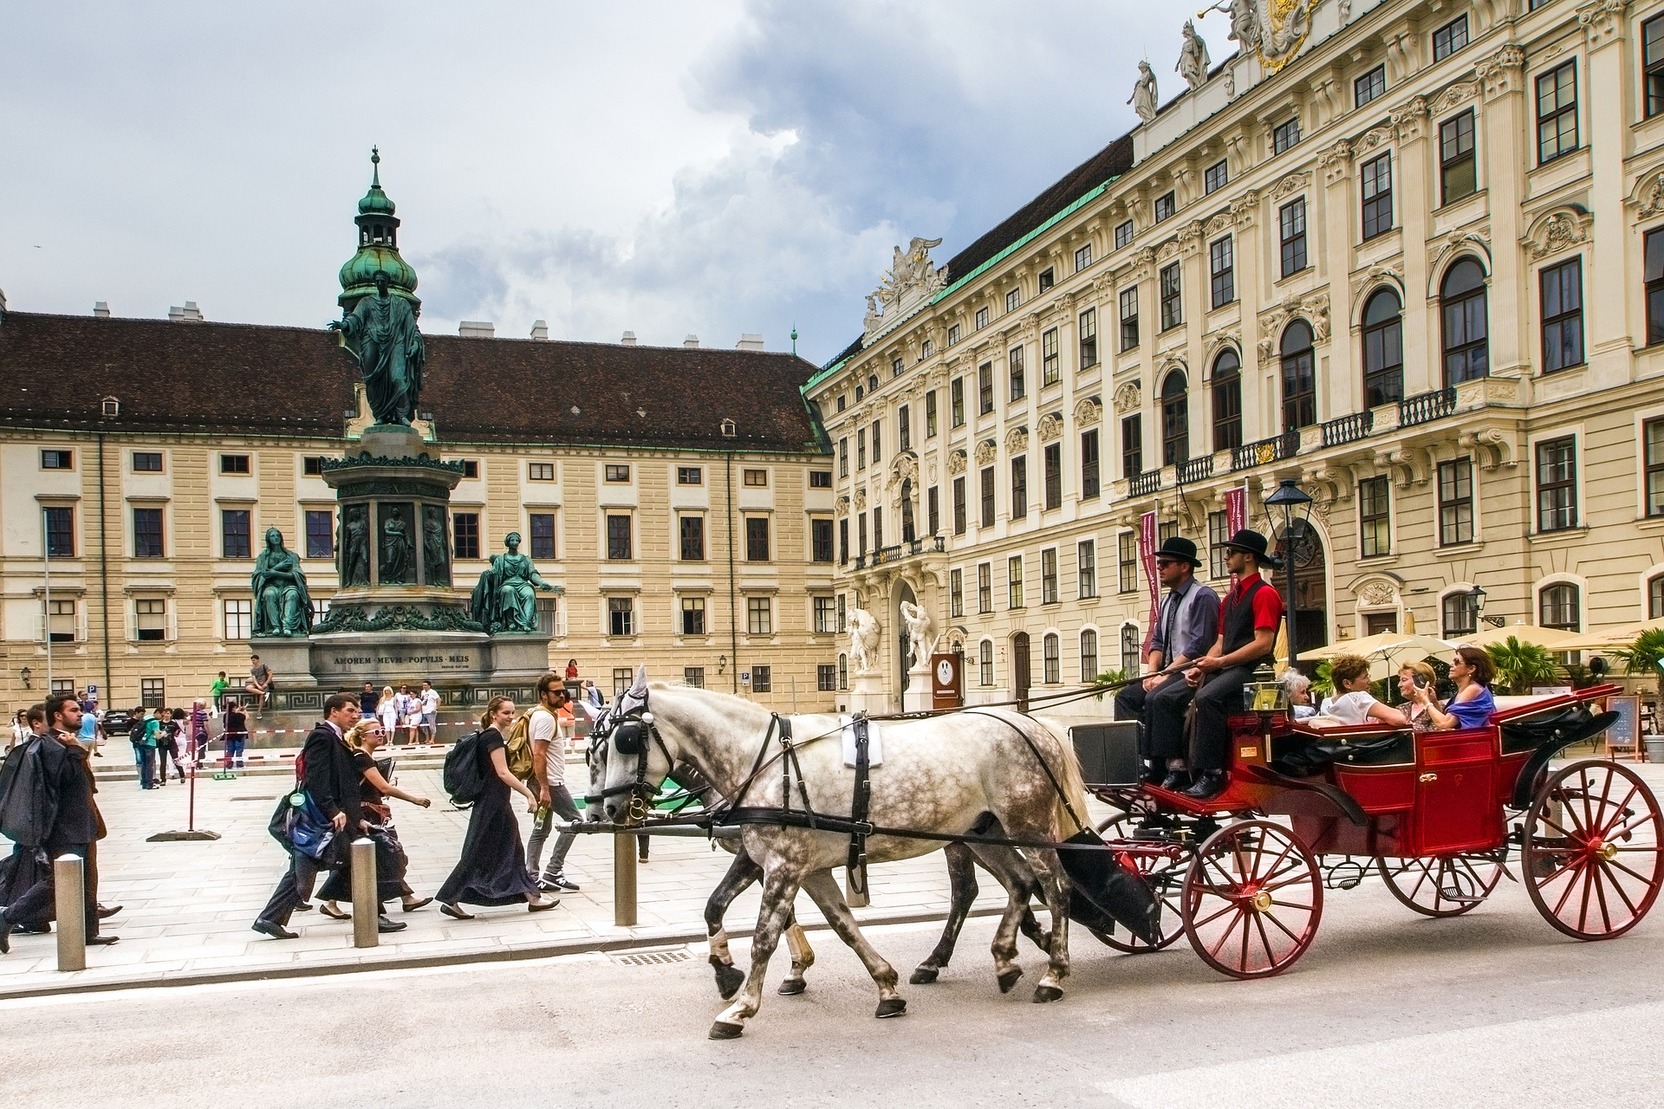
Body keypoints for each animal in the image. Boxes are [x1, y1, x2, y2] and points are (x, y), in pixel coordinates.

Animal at [602, 679, 1091, 1032]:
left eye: (624, 740)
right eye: (597, 746)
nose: (604, 808)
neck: (763, 761)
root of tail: (1032, 724)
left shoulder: (784, 865)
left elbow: (765, 937)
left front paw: (740, 1009)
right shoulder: (791, 864)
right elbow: (838, 924)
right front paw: (885, 987)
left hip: (1027, 827)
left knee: (1055, 888)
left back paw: (1053, 972)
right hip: (982, 831)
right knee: (1017, 883)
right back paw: (1003, 958)